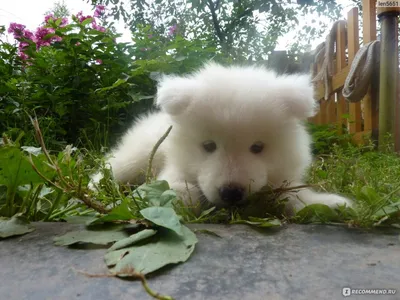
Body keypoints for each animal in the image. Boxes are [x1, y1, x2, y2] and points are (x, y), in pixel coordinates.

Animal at [97, 62, 354, 213]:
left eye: (257, 147)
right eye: (209, 146)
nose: (231, 192)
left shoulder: (282, 180)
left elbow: (294, 194)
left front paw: (329, 204)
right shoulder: (174, 166)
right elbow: (172, 185)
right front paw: (176, 195)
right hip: (138, 155)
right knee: (112, 166)